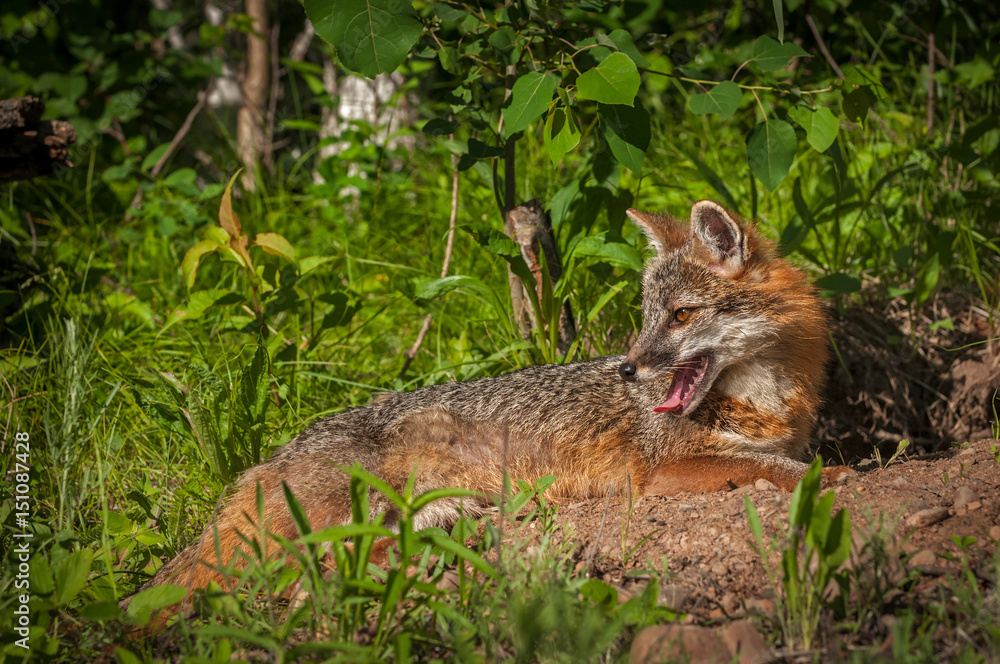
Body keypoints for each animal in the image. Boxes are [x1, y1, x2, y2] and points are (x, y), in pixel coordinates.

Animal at [123, 200, 851, 620]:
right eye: (647, 316)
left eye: (681, 315)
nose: (627, 367)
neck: (763, 401)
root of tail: (271, 456)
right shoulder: (661, 471)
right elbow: (789, 473)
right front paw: (845, 478)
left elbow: (790, 463)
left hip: (412, 519)